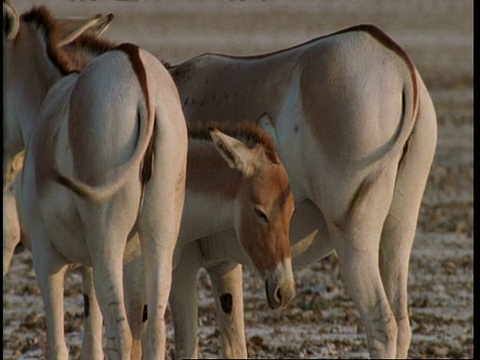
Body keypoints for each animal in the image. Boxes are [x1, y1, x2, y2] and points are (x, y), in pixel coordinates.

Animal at [3, 4, 188, 358]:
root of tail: (139, 73)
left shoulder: (46, 257)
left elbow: (58, 346)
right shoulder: (92, 265)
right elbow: (92, 344)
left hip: (108, 236)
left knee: (121, 333)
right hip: (161, 233)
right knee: (154, 331)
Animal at [166, 23, 438, 358]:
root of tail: (401, 65)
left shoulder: (182, 260)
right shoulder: (224, 264)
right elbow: (233, 345)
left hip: (353, 234)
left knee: (382, 324)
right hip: (400, 226)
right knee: (402, 323)